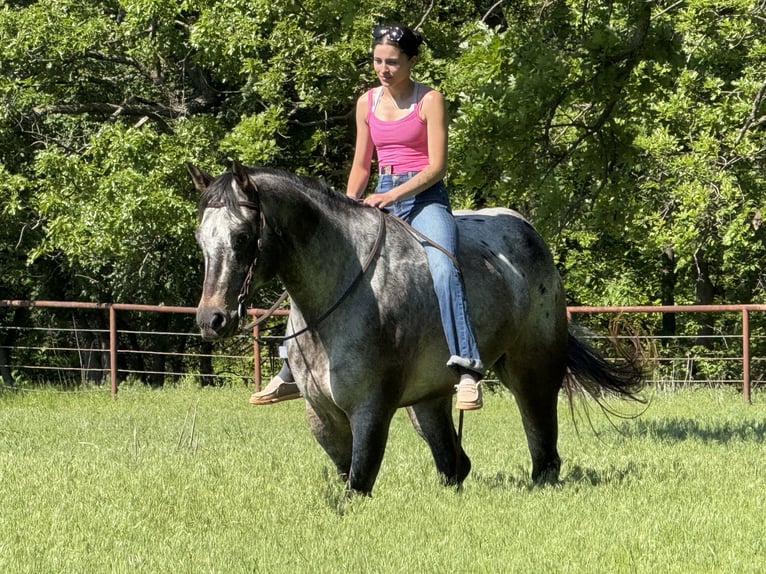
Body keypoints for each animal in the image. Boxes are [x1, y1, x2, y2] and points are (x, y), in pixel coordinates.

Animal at [188, 161, 645, 496]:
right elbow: (345, 474)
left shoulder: (371, 409)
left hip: (532, 370)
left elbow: (358, 484)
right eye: (200, 238)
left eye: (243, 236)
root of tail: (527, 231)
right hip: (427, 401)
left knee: (543, 449)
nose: (212, 319)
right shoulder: (321, 412)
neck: (341, 291)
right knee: (454, 464)